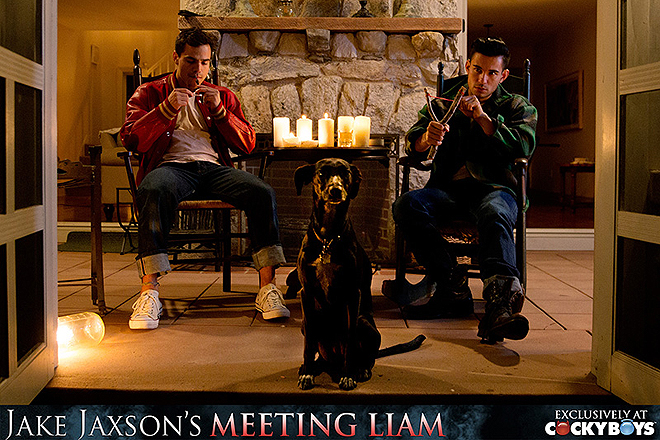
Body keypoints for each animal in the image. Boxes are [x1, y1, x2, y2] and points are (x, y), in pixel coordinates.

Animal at [293, 158, 425, 390]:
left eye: (345, 173)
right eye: (321, 173)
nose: (335, 190)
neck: (328, 238)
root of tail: (332, 360)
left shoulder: (352, 293)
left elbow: (349, 337)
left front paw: (348, 375)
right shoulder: (306, 293)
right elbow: (309, 343)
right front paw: (307, 372)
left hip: (366, 324)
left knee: (366, 356)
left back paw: (360, 369)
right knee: (319, 352)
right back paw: (313, 367)